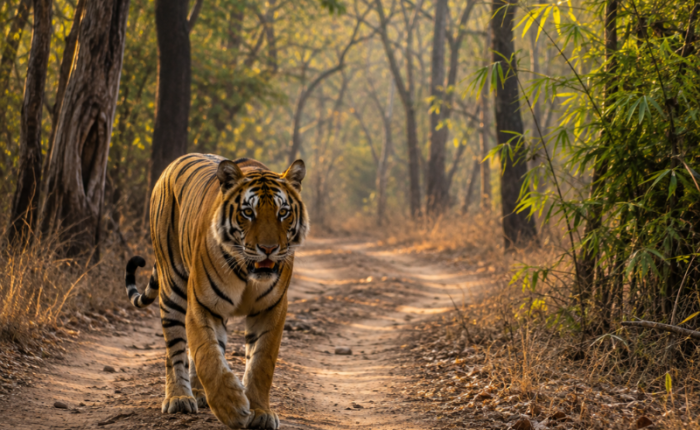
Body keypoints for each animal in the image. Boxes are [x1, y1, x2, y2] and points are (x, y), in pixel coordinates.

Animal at [124, 154, 308, 429]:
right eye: (248, 212)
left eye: (283, 212)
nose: (268, 249)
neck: (248, 272)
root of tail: (173, 163)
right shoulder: (203, 304)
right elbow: (207, 356)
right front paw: (231, 407)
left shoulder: (271, 309)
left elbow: (261, 363)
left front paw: (261, 412)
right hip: (173, 286)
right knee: (175, 348)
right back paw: (179, 397)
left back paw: (199, 393)